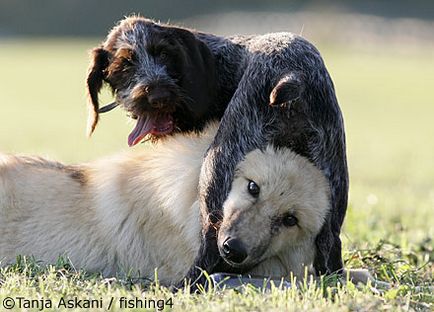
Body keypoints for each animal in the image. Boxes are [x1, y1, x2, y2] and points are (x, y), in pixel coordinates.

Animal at [85, 15, 350, 286]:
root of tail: (293, 74)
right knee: (331, 252)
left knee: (210, 250)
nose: (159, 95)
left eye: (165, 54)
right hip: (332, 187)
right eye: (124, 65)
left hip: (215, 172)